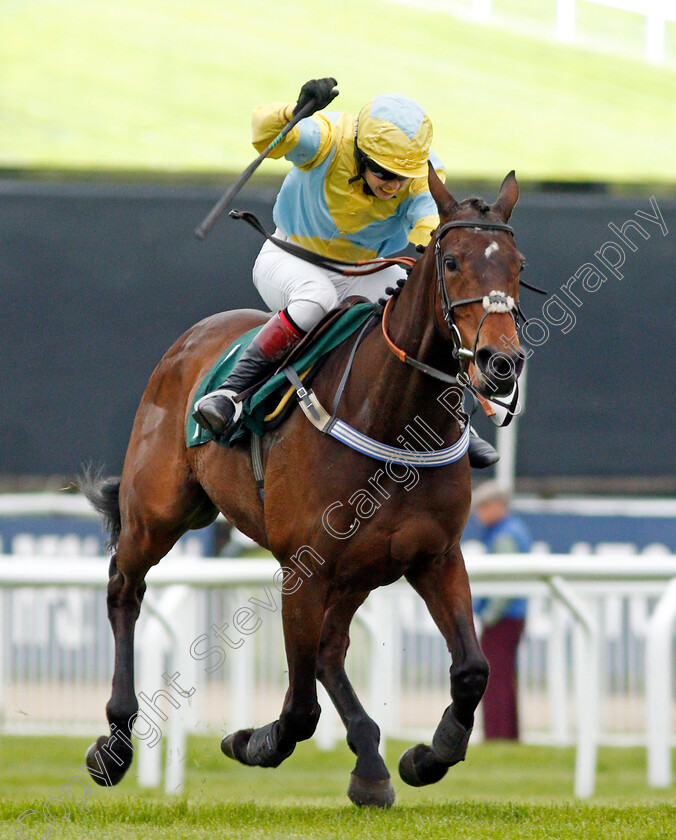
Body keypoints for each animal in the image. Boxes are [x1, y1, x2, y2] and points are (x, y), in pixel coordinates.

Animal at [82, 169, 528, 808]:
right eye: (452, 261)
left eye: (517, 265)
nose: (500, 361)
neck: (392, 418)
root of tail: (193, 338)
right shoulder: (305, 568)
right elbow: (298, 711)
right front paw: (251, 741)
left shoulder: (436, 555)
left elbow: (471, 669)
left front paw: (427, 755)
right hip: (158, 511)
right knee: (125, 588)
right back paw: (115, 741)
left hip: (359, 571)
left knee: (331, 651)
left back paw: (371, 763)